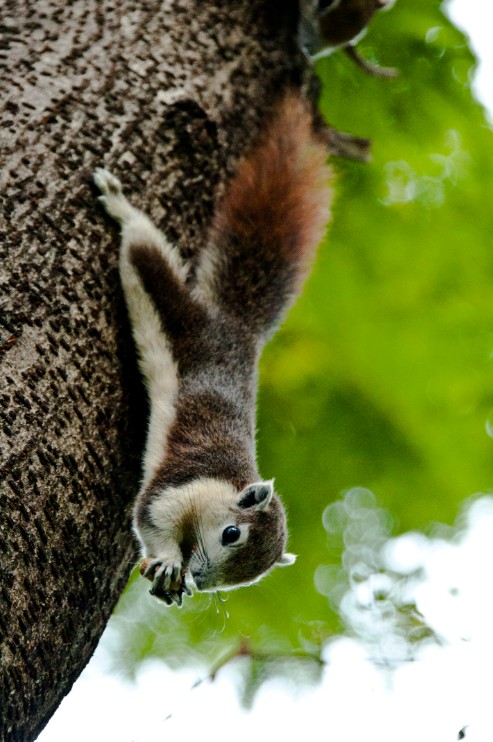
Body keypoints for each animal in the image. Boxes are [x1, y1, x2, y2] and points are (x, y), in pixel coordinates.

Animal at [93, 91, 332, 605]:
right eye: (231, 534)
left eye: (251, 578)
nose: (201, 579)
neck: (225, 482)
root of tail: (237, 330)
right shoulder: (177, 486)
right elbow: (151, 519)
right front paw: (168, 560)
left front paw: (175, 578)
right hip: (179, 311)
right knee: (143, 249)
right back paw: (121, 205)